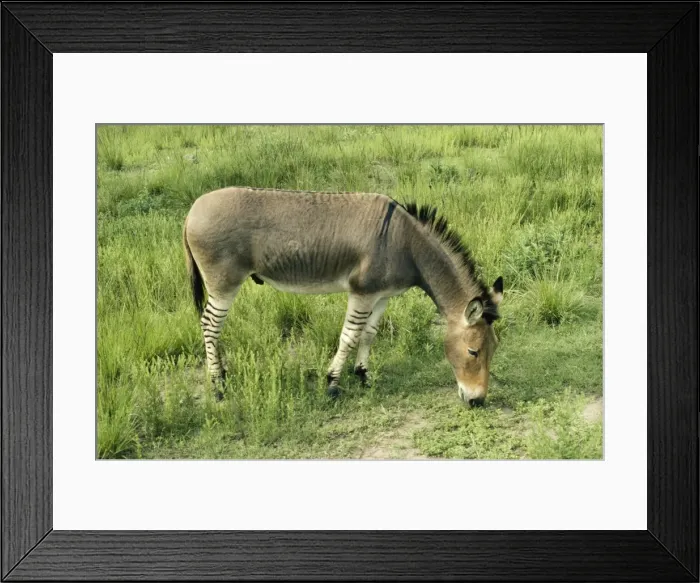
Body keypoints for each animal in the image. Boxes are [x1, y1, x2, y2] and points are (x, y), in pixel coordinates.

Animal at [183, 187, 503, 407]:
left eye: (493, 349)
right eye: (473, 352)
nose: (478, 402)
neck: (406, 245)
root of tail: (192, 209)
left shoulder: (382, 295)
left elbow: (370, 334)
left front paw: (363, 375)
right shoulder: (361, 293)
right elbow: (349, 336)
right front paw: (333, 383)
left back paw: (222, 374)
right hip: (224, 284)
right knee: (210, 325)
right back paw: (218, 385)